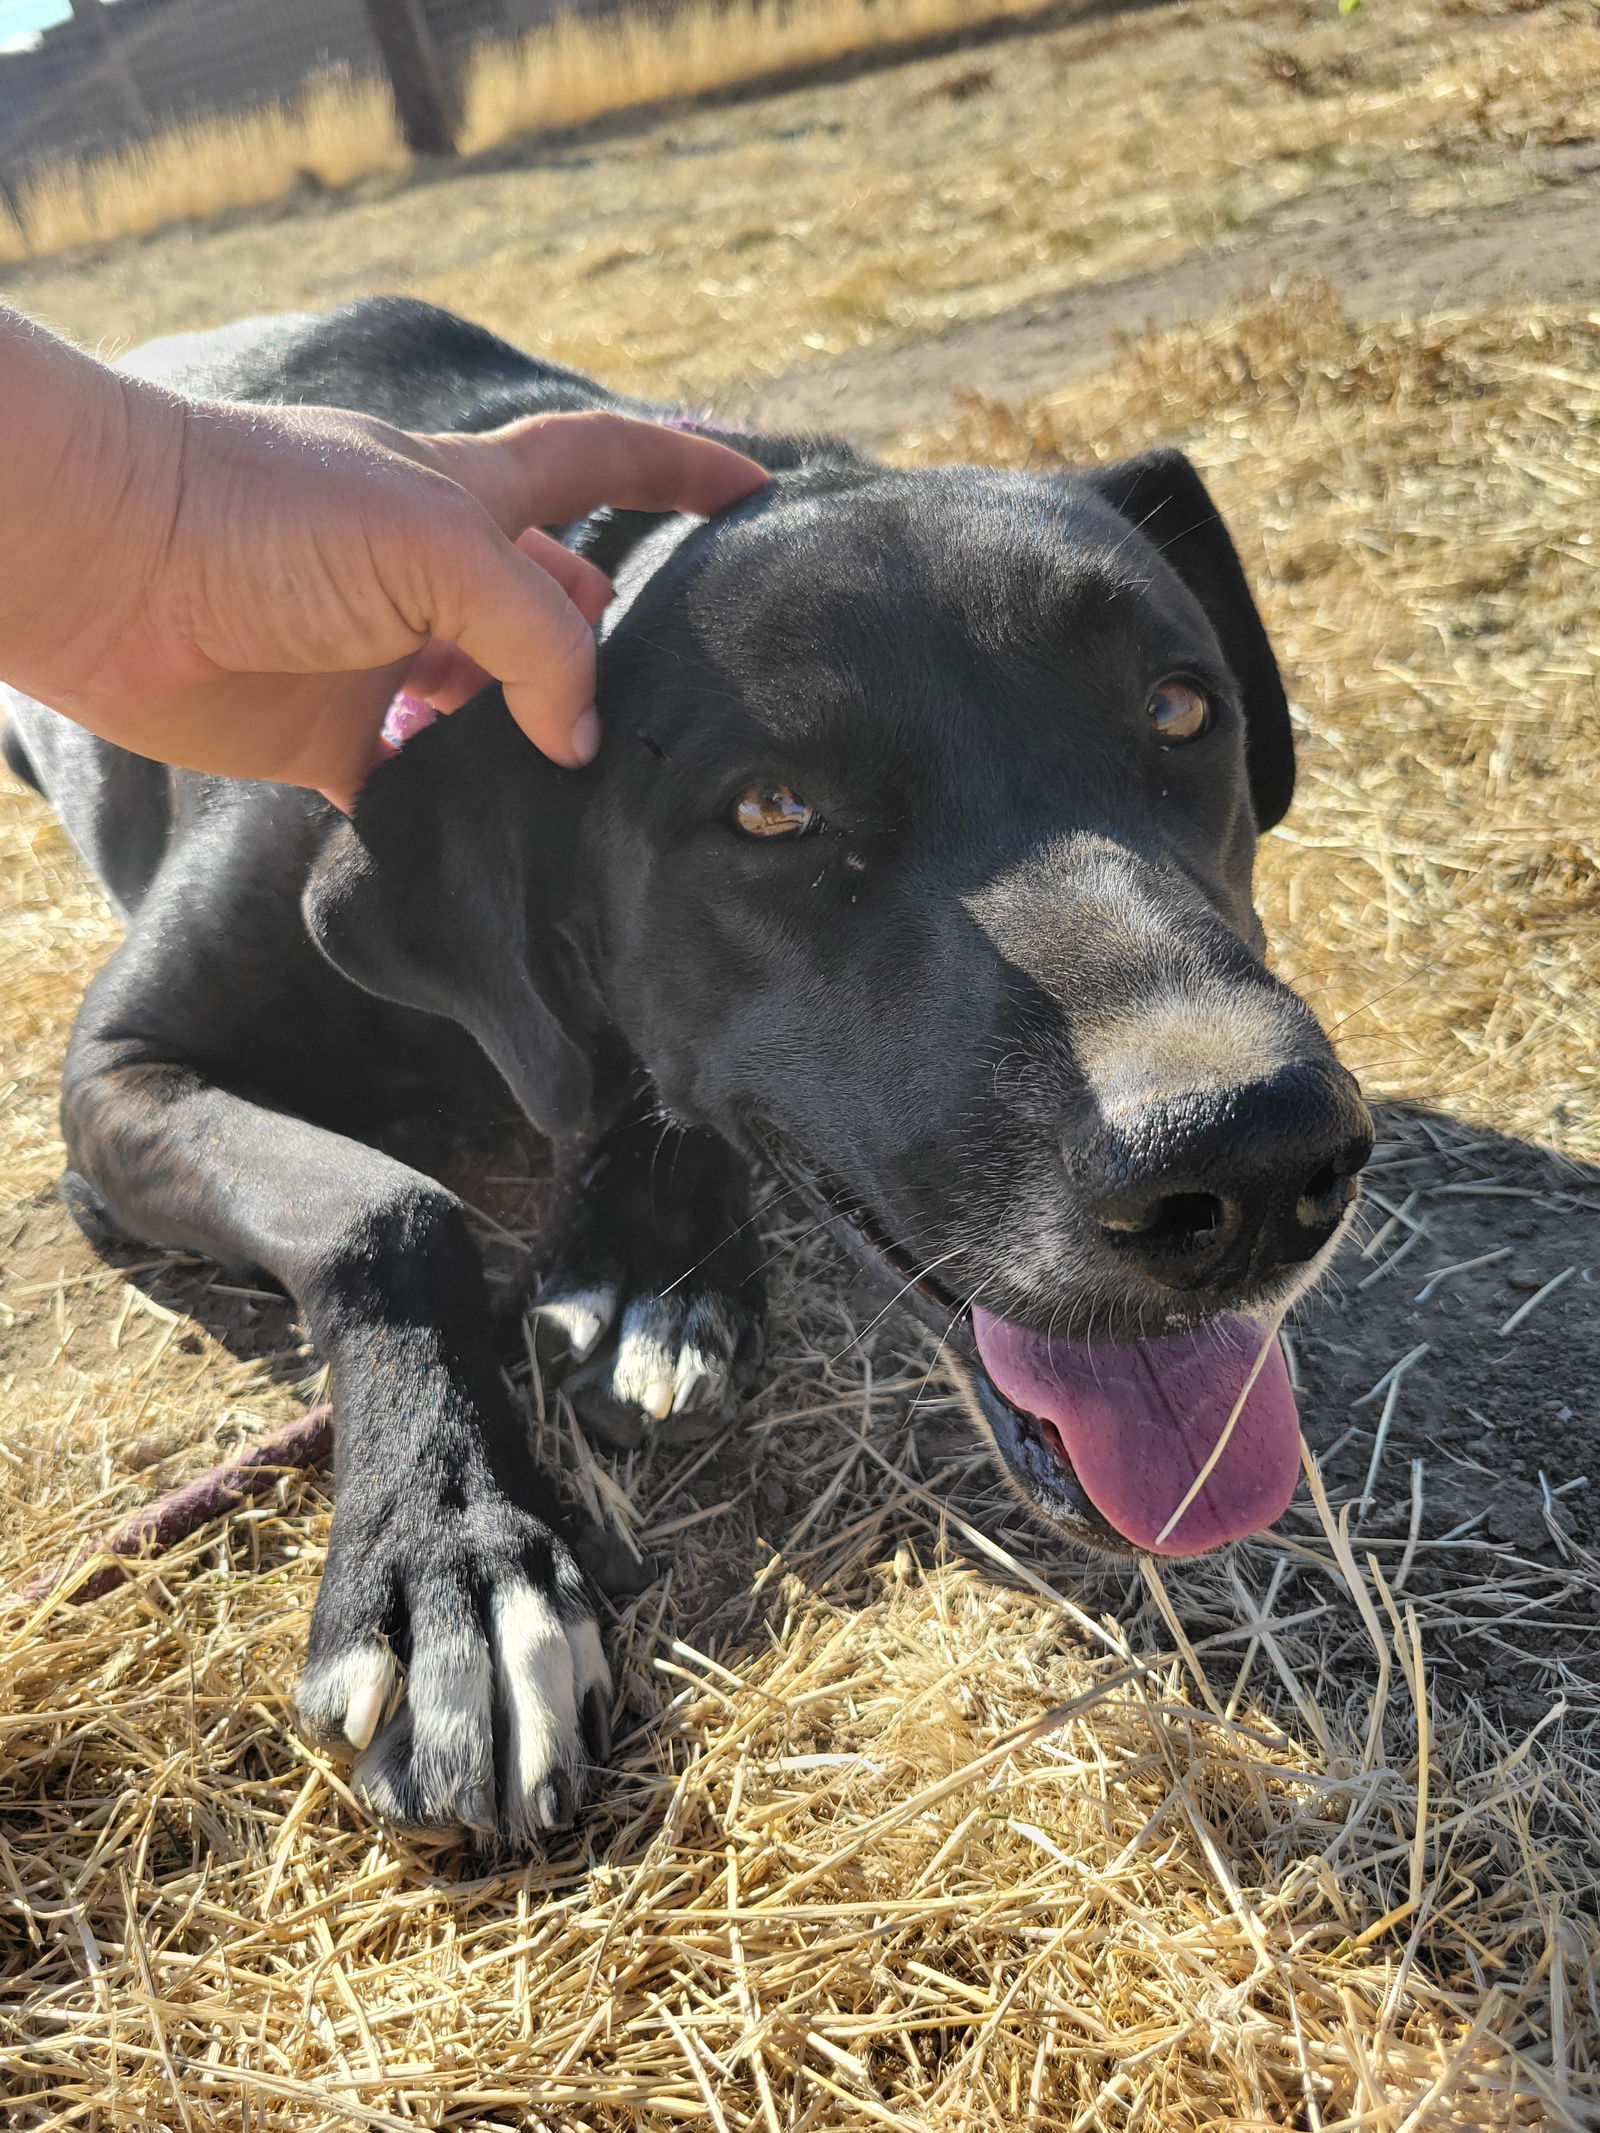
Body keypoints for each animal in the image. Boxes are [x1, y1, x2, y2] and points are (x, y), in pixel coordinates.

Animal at [6, 292, 1373, 1842]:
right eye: (772, 810)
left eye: (1180, 709)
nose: (1253, 1158)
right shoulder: (117, 1072)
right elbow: (385, 1211)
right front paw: (453, 1564)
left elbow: (653, 1097)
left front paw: (654, 1266)